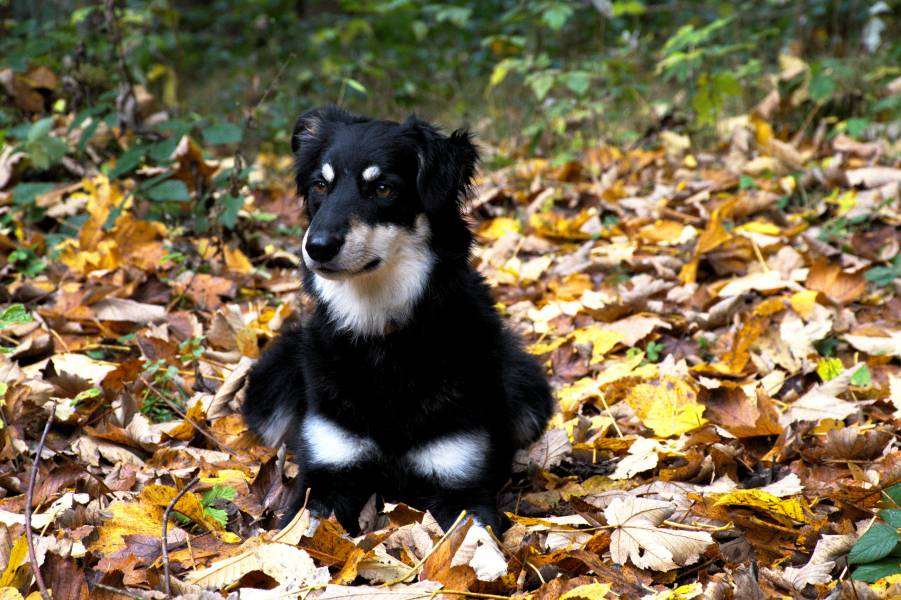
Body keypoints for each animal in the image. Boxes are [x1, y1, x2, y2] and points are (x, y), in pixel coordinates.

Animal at [243, 105, 556, 532]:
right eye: (321, 185)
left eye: (382, 189)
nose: (317, 247)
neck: (383, 333)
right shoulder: (327, 473)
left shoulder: (462, 482)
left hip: (529, 390)